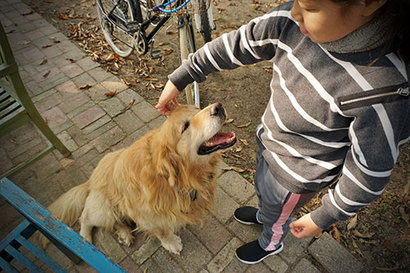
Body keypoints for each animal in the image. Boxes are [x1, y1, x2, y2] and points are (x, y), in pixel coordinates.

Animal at [43, 102, 235, 253]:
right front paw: (171, 242)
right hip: (103, 210)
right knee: (85, 217)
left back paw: (125, 233)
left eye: (197, 108)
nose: (218, 107)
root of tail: (91, 179)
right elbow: (161, 231)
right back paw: (85, 240)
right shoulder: (145, 214)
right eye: (185, 127)